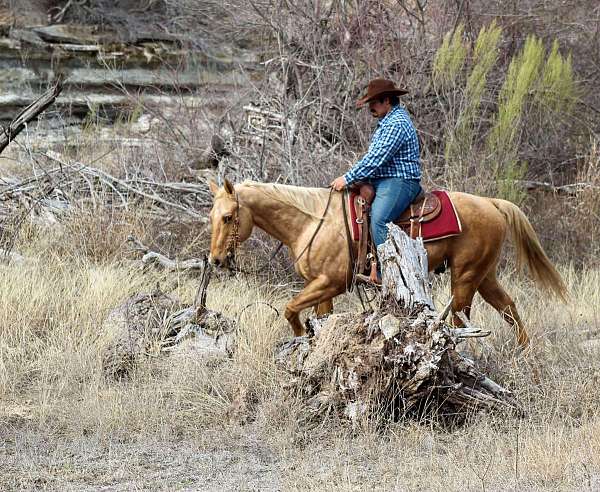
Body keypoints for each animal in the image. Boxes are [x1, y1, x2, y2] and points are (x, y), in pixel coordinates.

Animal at [210, 178, 568, 346]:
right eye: (211, 216)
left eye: (228, 217)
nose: (215, 260)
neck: (314, 221)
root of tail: (492, 203)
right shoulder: (322, 288)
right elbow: (317, 318)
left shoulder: (330, 282)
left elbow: (290, 309)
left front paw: (299, 334)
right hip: (484, 274)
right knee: (508, 307)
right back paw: (525, 354)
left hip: (465, 278)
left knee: (462, 321)